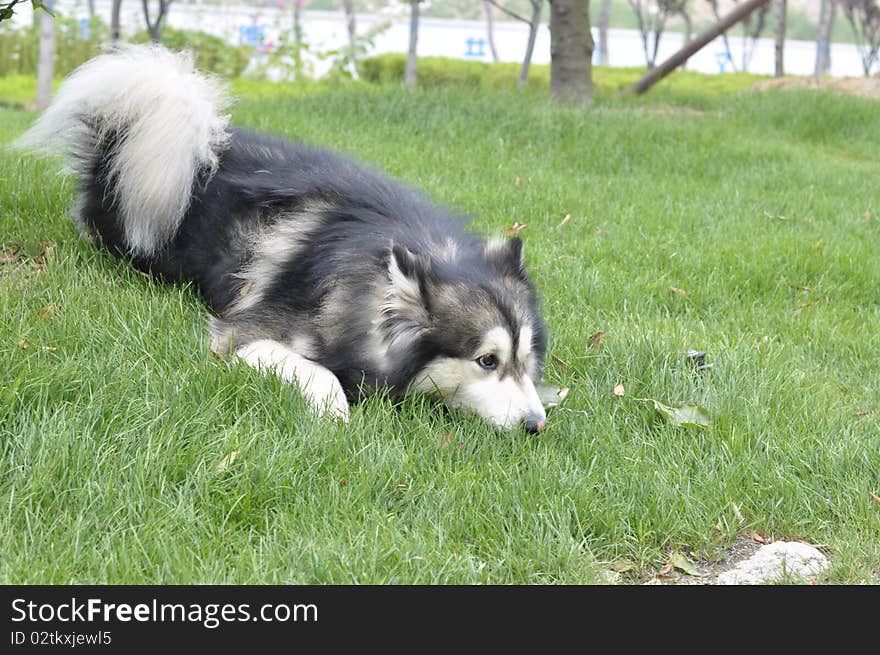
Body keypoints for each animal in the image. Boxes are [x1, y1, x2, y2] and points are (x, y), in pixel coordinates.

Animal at [17, 48, 548, 434]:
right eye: (487, 361)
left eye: (525, 359)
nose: (536, 425)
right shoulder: (244, 336)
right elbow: (322, 374)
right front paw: (336, 414)